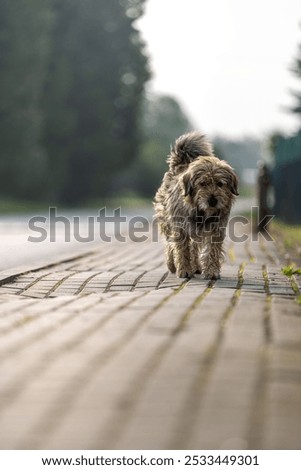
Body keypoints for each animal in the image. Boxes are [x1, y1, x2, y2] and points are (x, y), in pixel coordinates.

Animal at [154, 130, 238, 280]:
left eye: (220, 184)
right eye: (202, 183)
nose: (212, 200)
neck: (201, 212)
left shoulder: (216, 229)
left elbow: (212, 251)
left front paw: (211, 271)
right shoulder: (181, 229)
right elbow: (181, 250)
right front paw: (184, 270)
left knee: (193, 247)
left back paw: (196, 266)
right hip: (167, 221)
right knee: (170, 244)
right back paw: (172, 264)